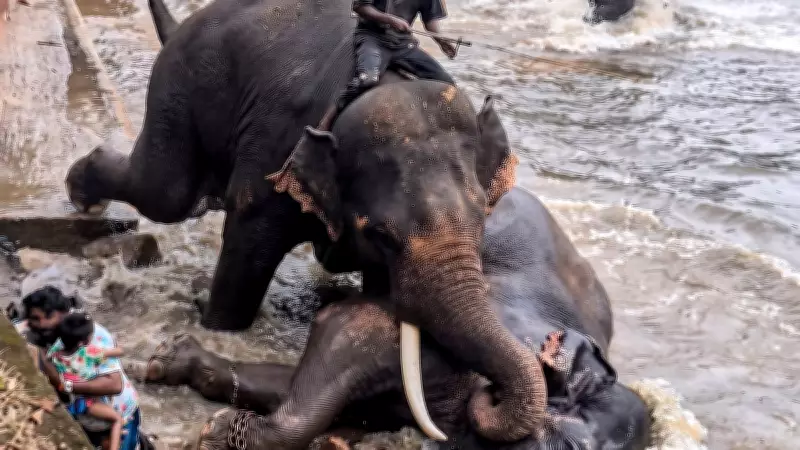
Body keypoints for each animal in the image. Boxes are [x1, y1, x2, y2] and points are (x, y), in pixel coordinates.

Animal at [64, 0, 545, 441]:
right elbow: (248, 250)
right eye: (382, 235)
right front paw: (215, 325)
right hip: (178, 87)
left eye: (483, 220)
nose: (489, 397)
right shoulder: (276, 156)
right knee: (166, 193)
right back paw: (82, 195)